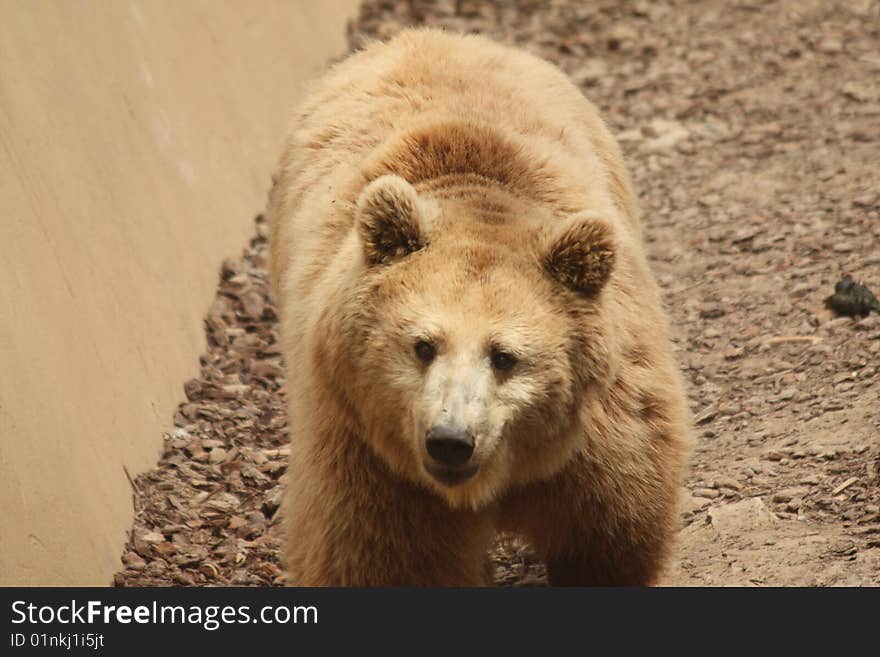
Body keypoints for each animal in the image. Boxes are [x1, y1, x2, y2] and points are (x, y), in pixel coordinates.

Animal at [268, 29, 696, 584]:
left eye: (505, 356)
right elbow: (386, 558)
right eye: (422, 346)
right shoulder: (370, 457)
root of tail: (430, 35)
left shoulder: (596, 447)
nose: (451, 439)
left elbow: (606, 539)